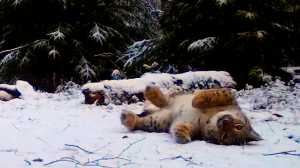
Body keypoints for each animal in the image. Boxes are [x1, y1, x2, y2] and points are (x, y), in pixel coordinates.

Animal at [120, 85, 262, 144]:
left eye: (225, 136)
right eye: (238, 126)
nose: (225, 122)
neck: (209, 118)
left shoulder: (195, 130)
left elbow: (187, 129)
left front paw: (182, 135)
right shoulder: (232, 100)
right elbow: (224, 93)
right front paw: (198, 100)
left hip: (160, 121)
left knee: (143, 121)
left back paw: (127, 118)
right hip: (175, 100)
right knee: (165, 99)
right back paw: (151, 91)